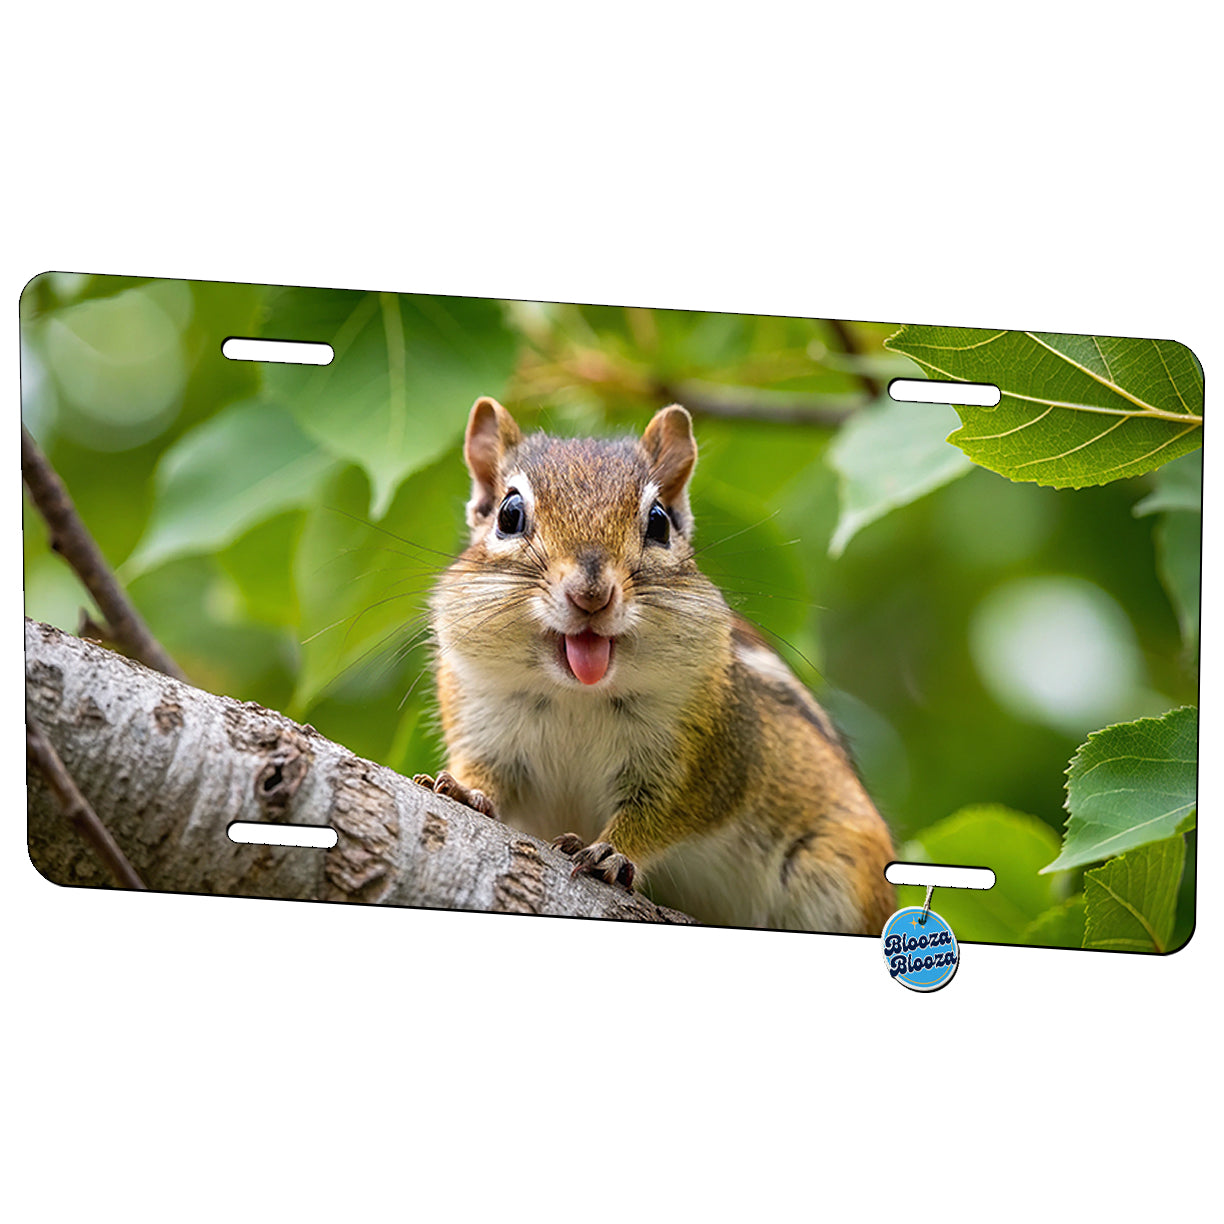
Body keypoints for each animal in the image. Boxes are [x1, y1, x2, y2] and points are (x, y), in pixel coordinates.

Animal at [413, 396, 896, 934]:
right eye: (509, 514)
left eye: (660, 523)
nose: (591, 594)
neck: (576, 695)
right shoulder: (482, 721)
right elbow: (486, 774)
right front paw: (464, 790)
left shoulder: (705, 758)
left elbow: (663, 813)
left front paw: (612, 853)